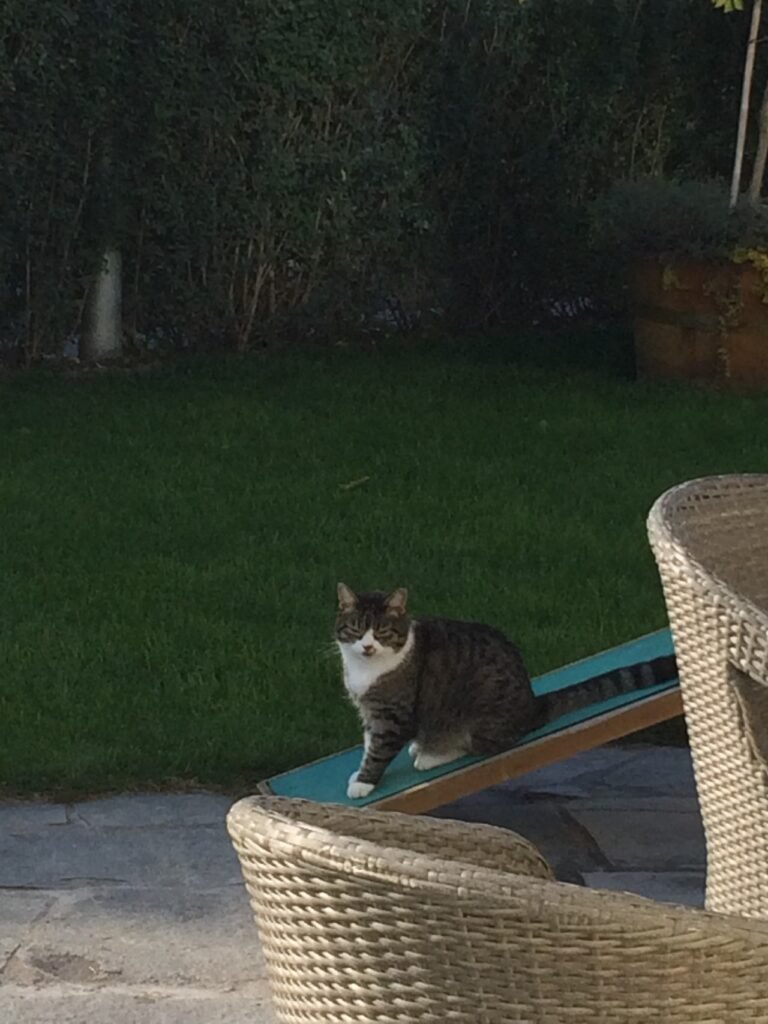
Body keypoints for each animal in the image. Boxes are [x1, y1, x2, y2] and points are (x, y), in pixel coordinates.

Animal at [334, 583, 677, 800]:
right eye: (355, 629)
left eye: (381, 631)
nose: (367, 646)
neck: (365, 671)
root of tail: (533, 704)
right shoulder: (370, 711)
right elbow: (369, 742)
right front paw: (359, 772)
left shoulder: (393, 715)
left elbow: (378, 749)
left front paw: (363, 783)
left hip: (478, 717)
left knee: (483, 745)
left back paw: (430, 755)